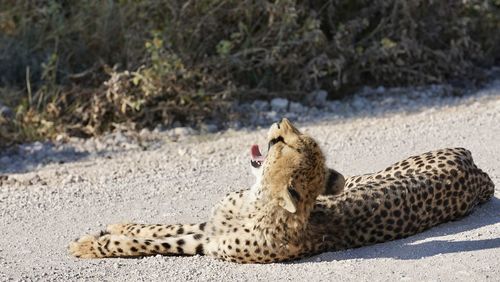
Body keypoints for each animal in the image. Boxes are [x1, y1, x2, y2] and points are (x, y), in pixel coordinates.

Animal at [68, 118, 494, 262]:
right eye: (302, 139)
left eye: (287, 144)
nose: (279, 122)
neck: (258, 200)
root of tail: (476, 169)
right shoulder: (208, 229)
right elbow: (157, 229)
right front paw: (116, 227)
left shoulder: (208, 244)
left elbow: (151, 242)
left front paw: (89, 245)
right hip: (361, 177)